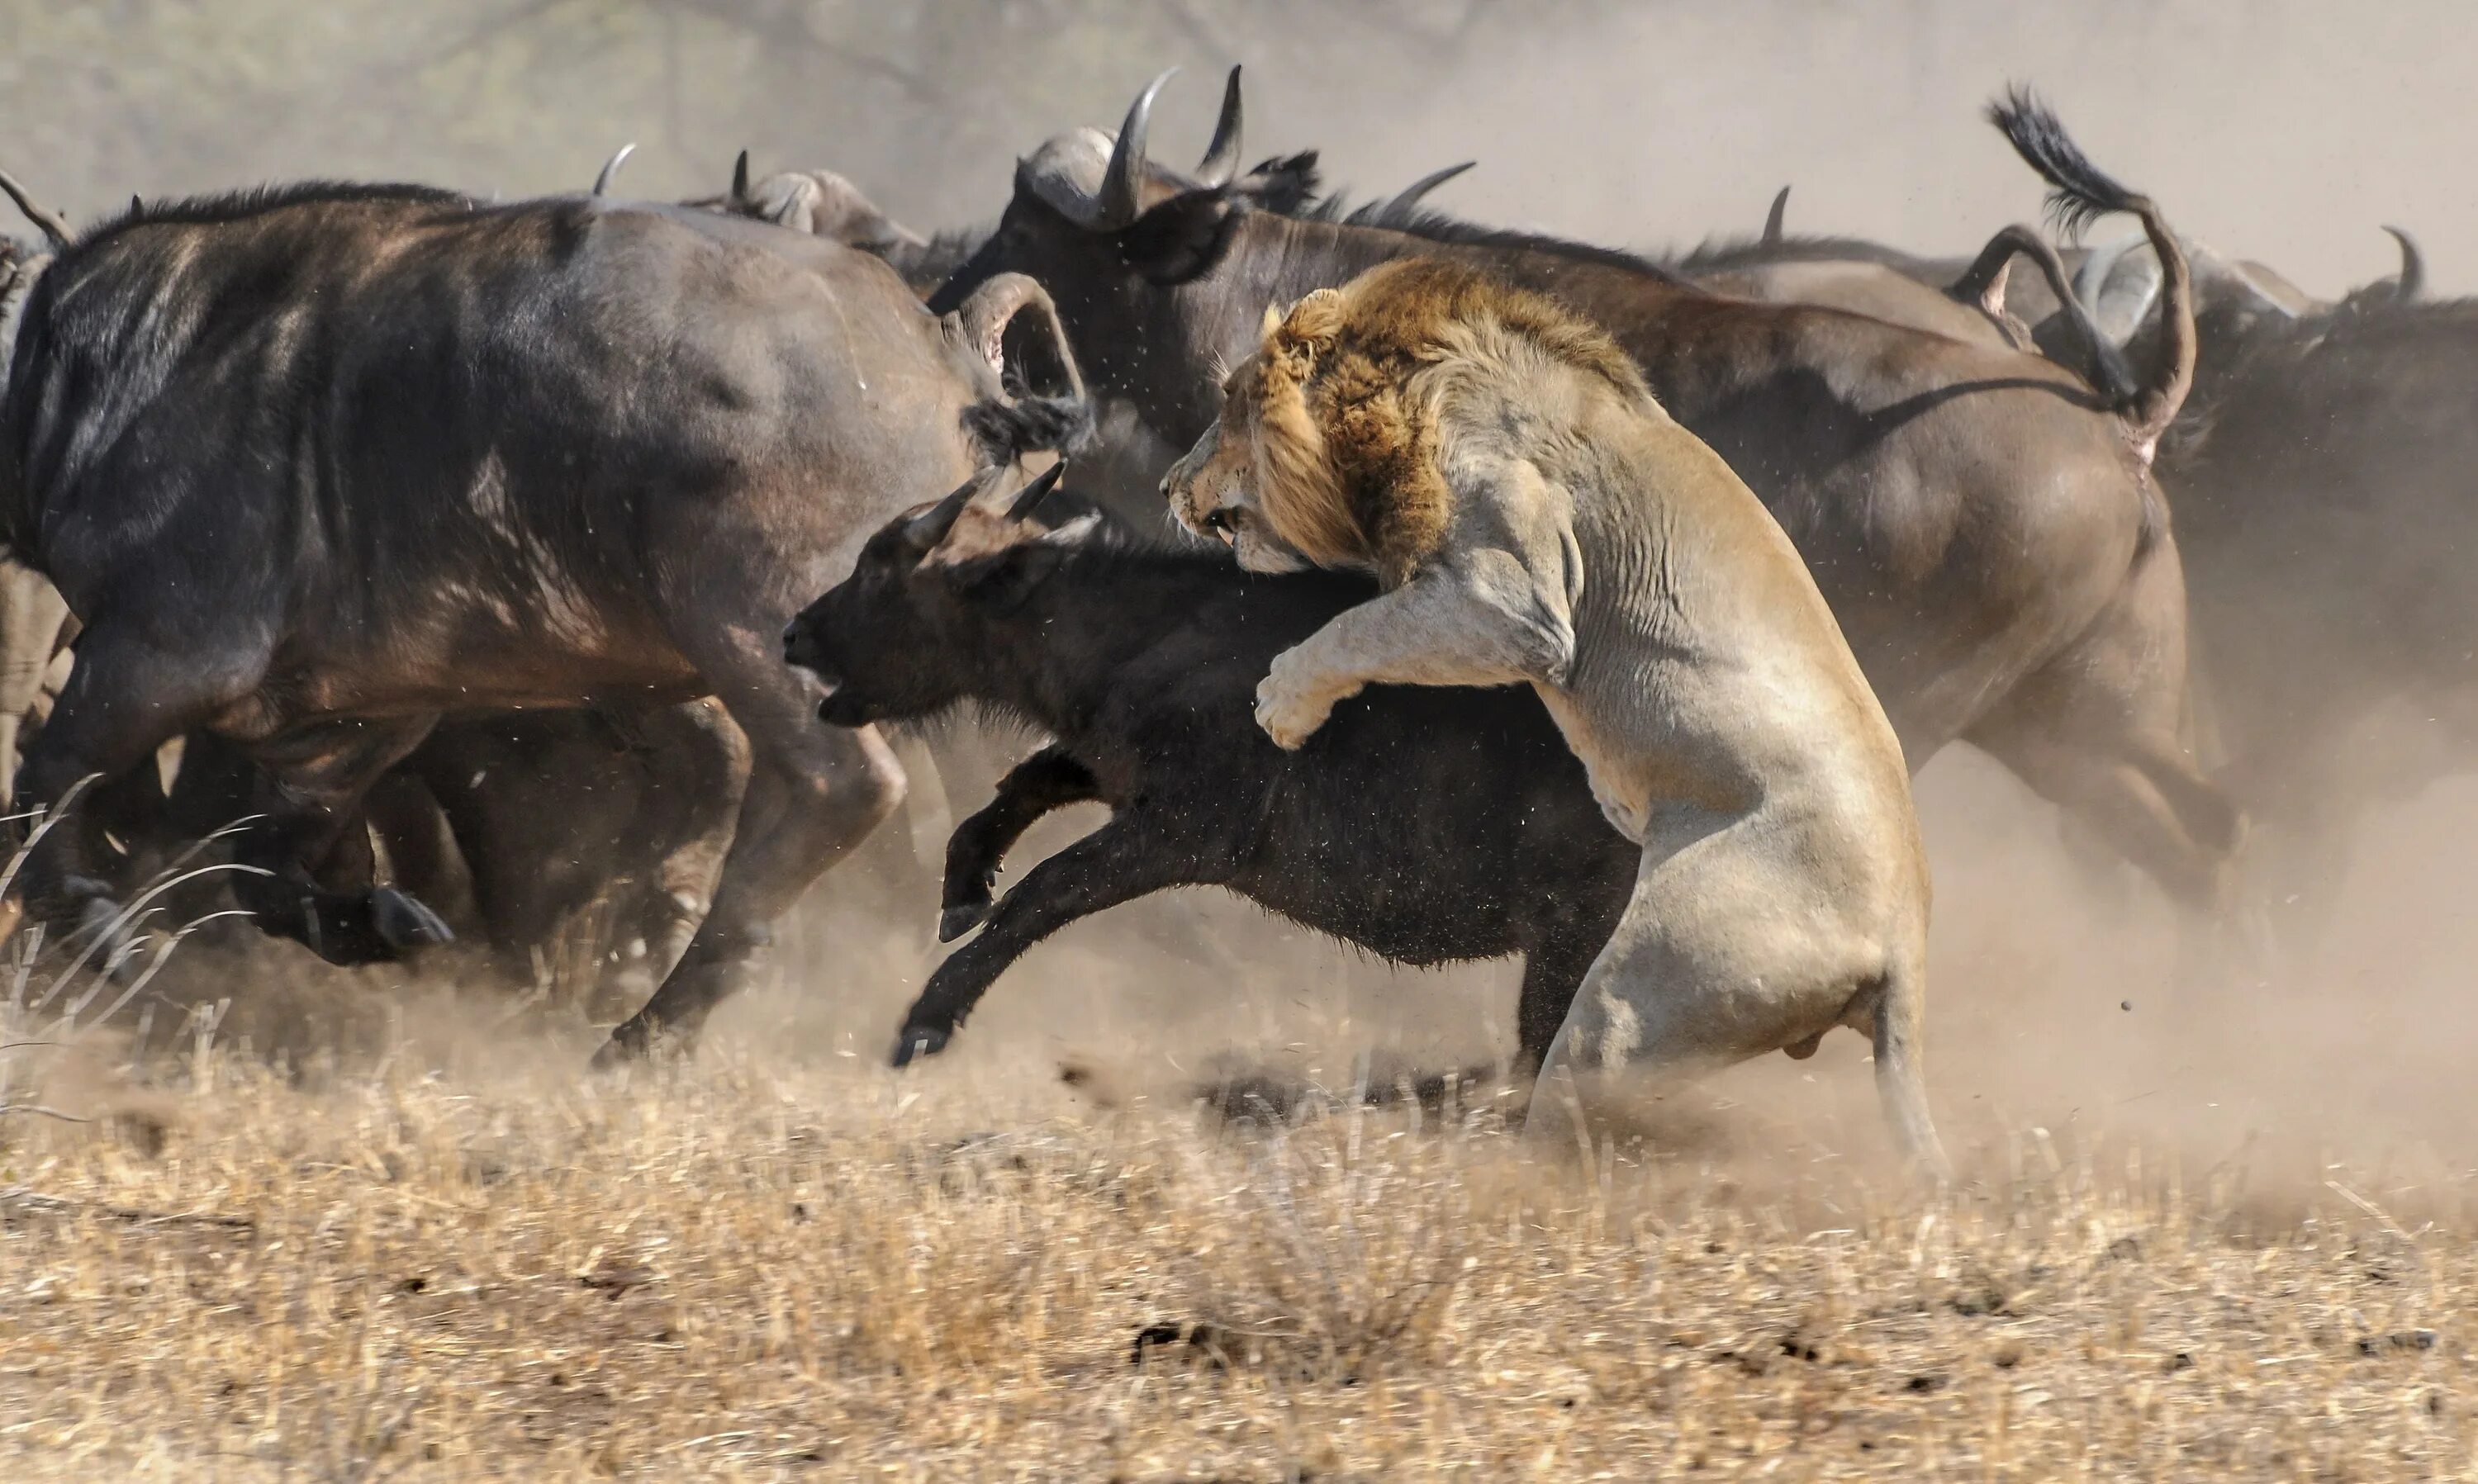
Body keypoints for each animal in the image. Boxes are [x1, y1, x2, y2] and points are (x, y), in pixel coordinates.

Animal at [788, 466, 1645, 1070]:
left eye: (879, 570)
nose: (795, 632)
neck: (1149, 630)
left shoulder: (1179, 834)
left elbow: (1043, 891)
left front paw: (927, 1020)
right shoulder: (1115, 764)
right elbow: (1022, 786)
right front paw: (964, 885)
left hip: (1570, 942)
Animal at [932, 78, 2250, 917]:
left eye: (1027, 230)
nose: (945, 297)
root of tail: (2115, 423)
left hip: (1929, 704)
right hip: (2083, 721)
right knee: (2207, 835)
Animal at [1165, 258, 1953, 1184]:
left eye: (1230, 403)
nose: (1167, 486)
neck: (1416, 389)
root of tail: (1905, 942)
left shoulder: (1514, 604)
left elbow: (1356, 628)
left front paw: (1282, 704)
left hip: (1631, 1001)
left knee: (1566, 1120)